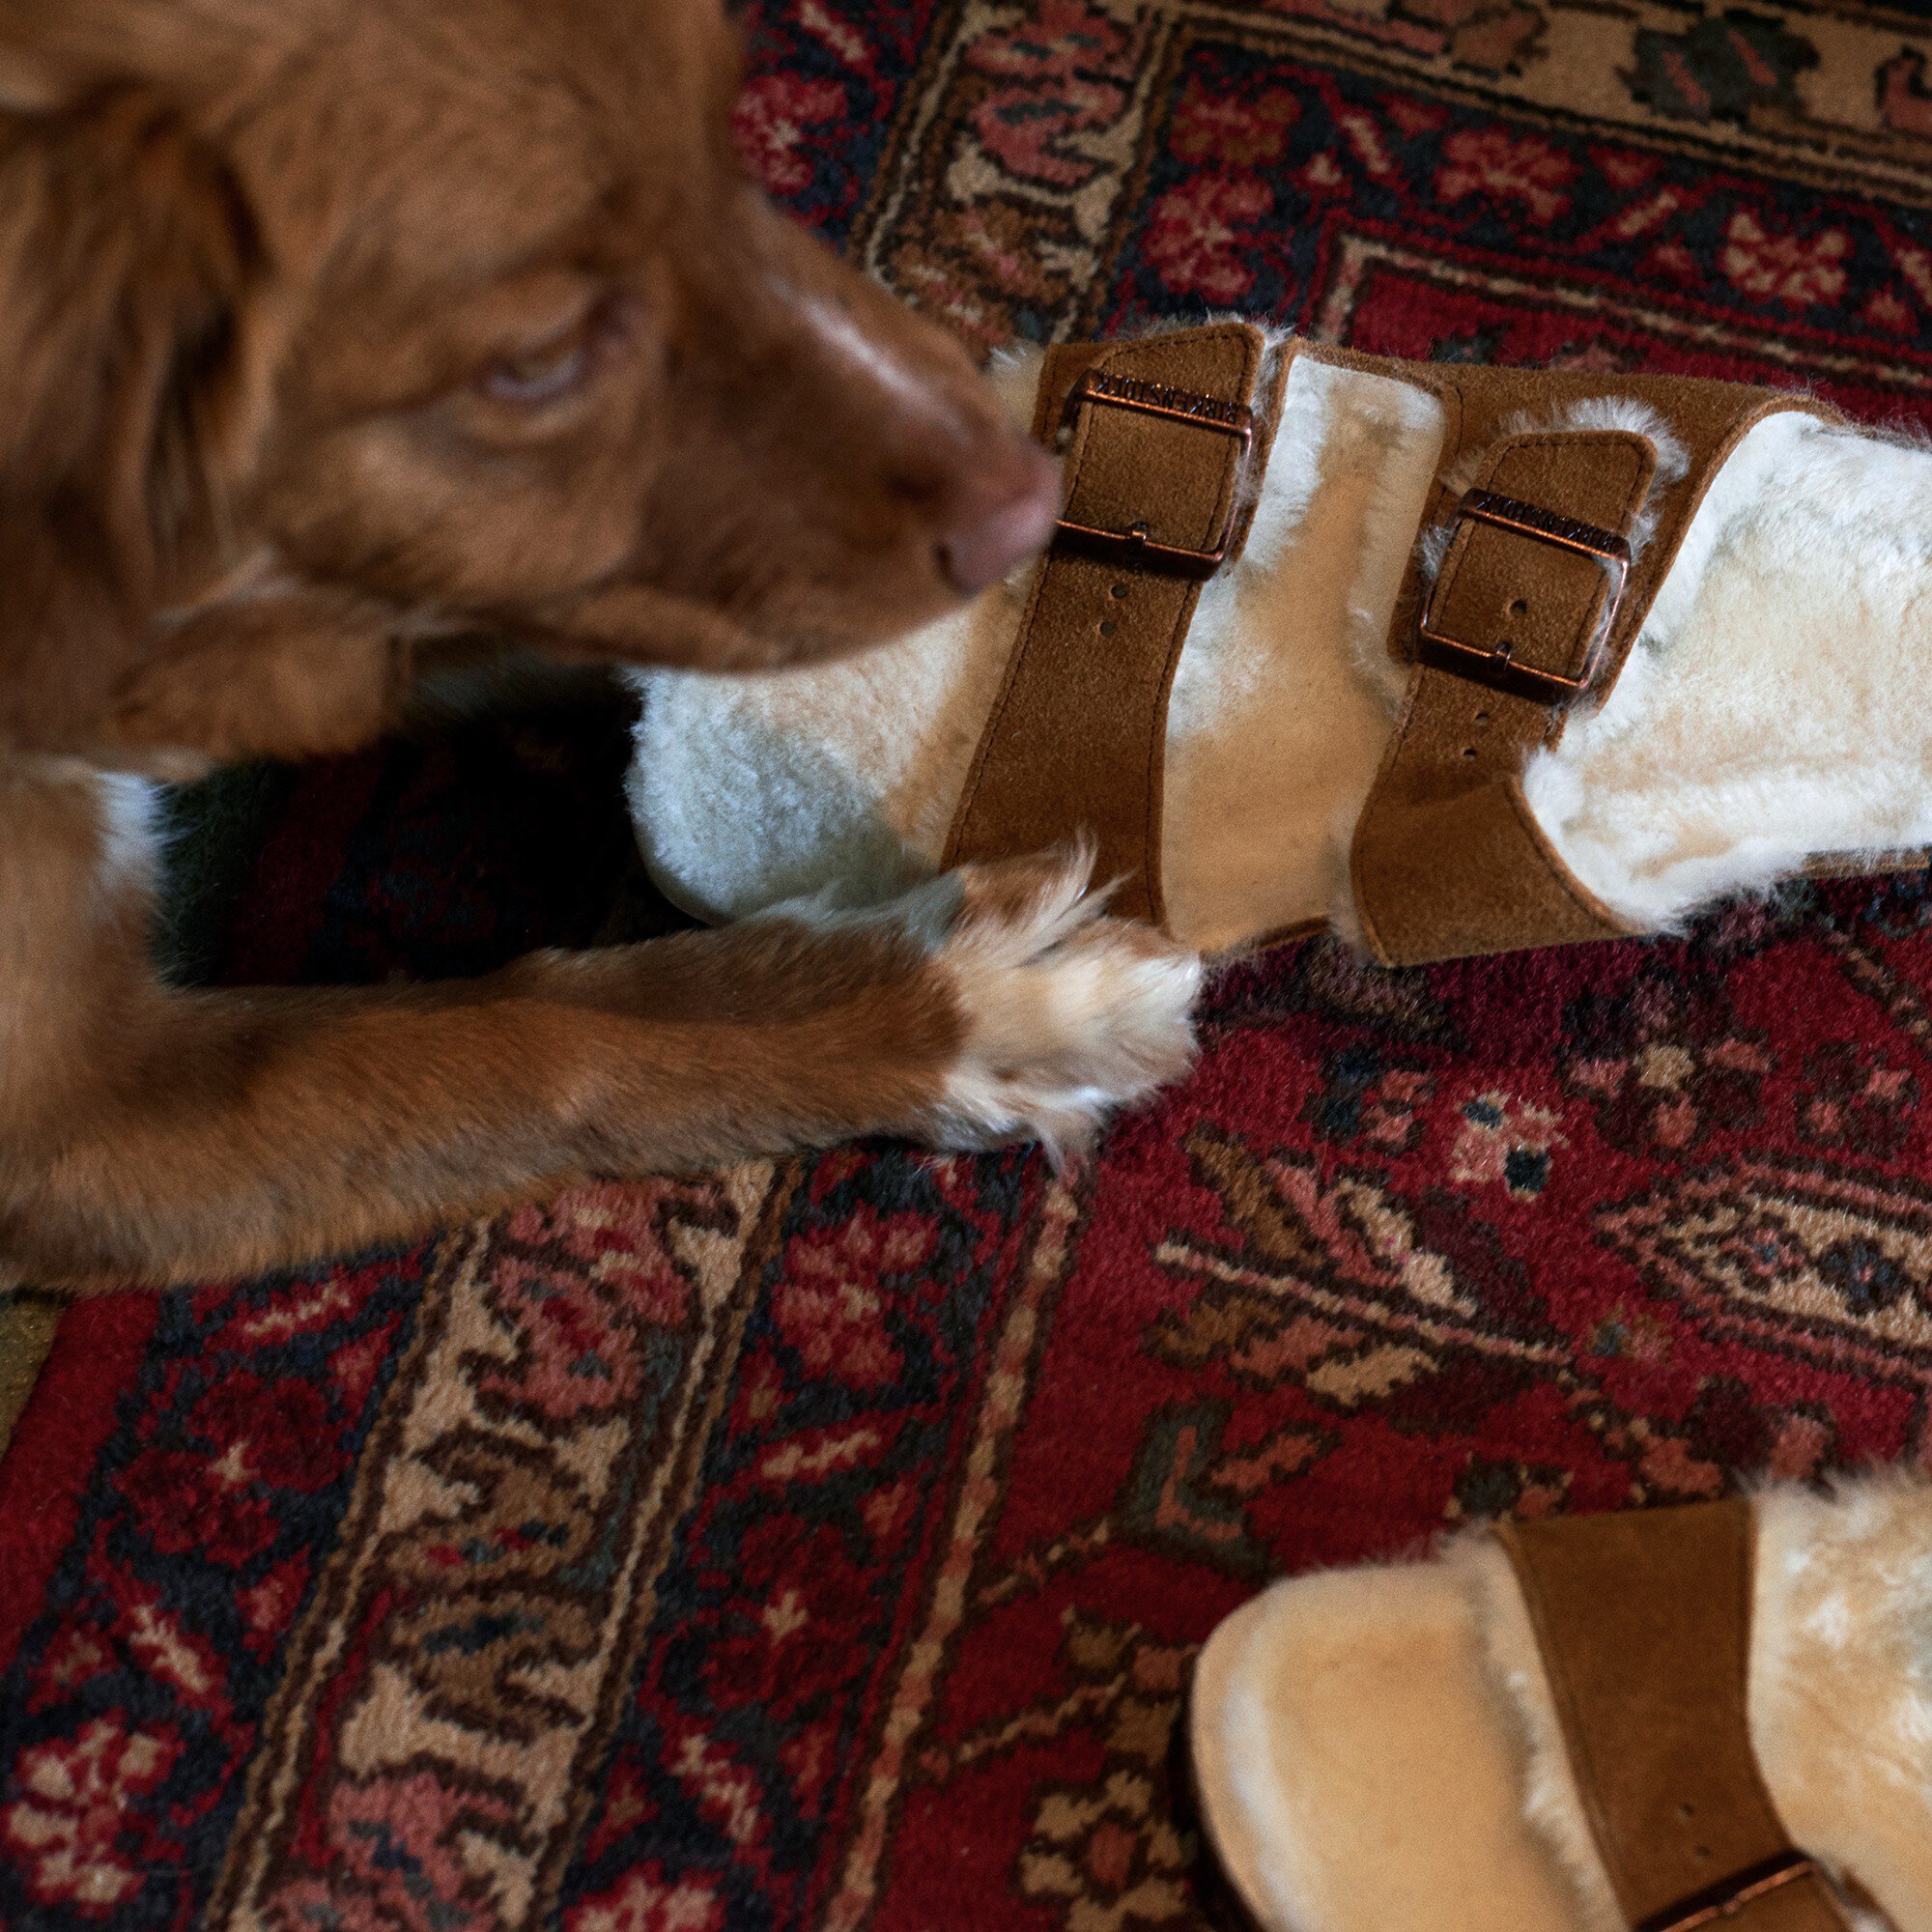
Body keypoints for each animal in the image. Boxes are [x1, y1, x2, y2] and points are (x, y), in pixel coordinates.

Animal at [0, 3, 1198, 1298]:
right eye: (535, 360)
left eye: (721, 141)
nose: (1039, 503)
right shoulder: (78, 1119)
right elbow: (541, 1040)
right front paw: (980, 1000)